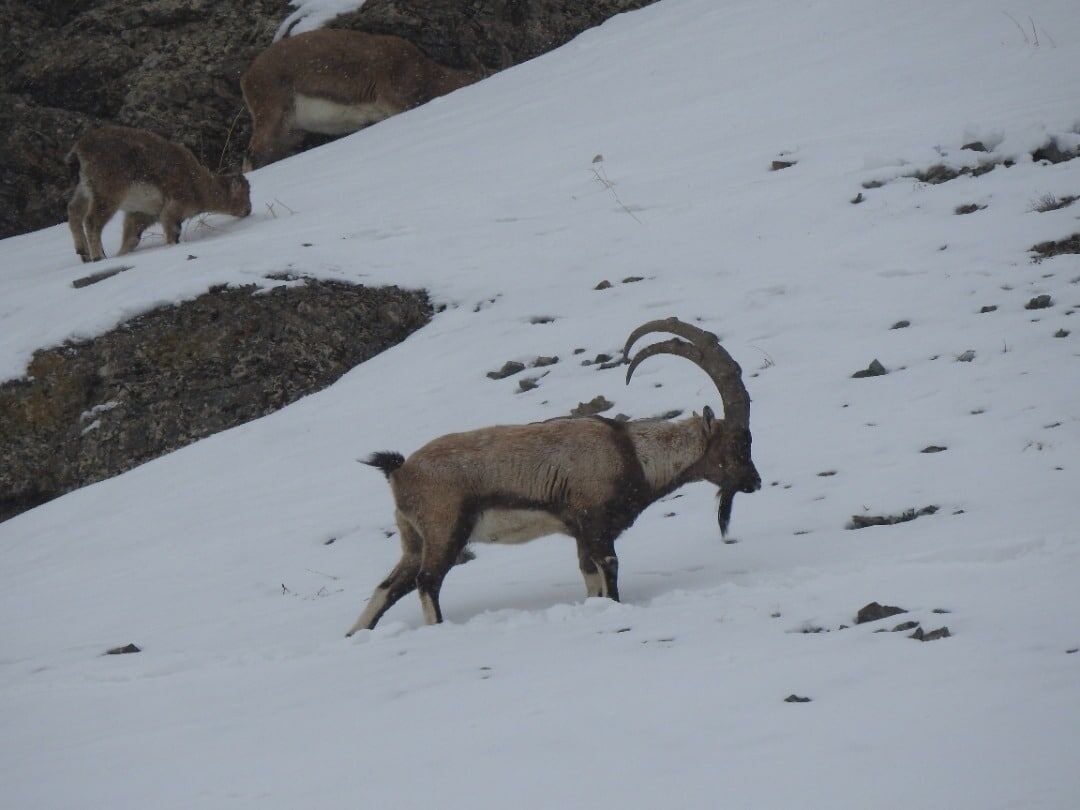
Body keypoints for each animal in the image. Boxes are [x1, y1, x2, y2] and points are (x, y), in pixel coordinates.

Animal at [66, 124, 250, 263]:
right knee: (91, 220)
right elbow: (172, 230)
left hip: (84, 188)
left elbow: (132, 237)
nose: (248, 210)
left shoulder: (143, 213)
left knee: (73, 210)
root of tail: (80, 149)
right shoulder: (173, 206)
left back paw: (83, 252)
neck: (200, 186)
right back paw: (98, 256)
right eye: (245, 193)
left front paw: (121, 254)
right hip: (109, 190)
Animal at [244, 29, 490, 169]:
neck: (425, 74)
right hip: (272, 114)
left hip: (292, 132)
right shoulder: (396, 101)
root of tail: (247, 78)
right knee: (253, 154)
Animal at [345, 317, 760, 635]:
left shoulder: (579, 534)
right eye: (738, 443)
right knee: (427, 581)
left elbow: (590, 578)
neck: (632, 453)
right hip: (445, 529)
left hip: (413, 538)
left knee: (387, 588)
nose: (754, 482)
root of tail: (400, 469)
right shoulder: (595, 525)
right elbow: (610, 570)